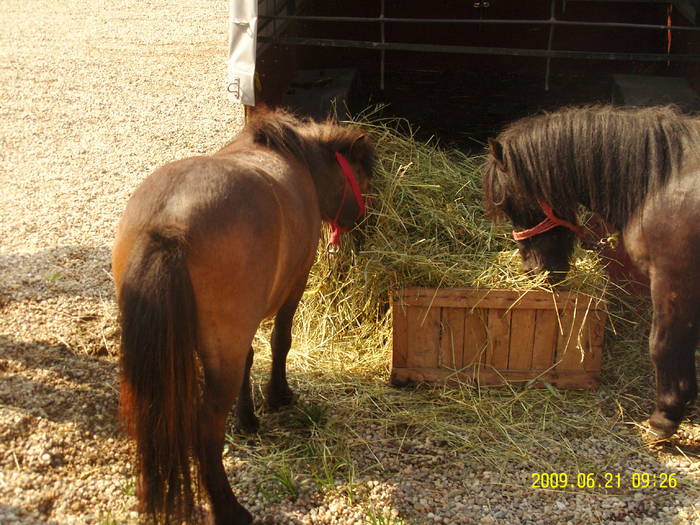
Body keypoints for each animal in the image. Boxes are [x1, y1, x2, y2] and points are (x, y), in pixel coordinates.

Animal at [114, 108, 374, 520]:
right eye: (362, 177)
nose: (365, 224)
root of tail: (168, 226)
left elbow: (251, 358)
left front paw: (248, 419)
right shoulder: (295, 283)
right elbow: (281, 341)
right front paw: (278, 396)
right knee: (205, 428)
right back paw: (228, 507)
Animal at [486, 104, 700, 440]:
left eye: (510, 202)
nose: (533, 271)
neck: (664, 181)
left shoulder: (673, 283)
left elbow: (663, 345)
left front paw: (665, 416)